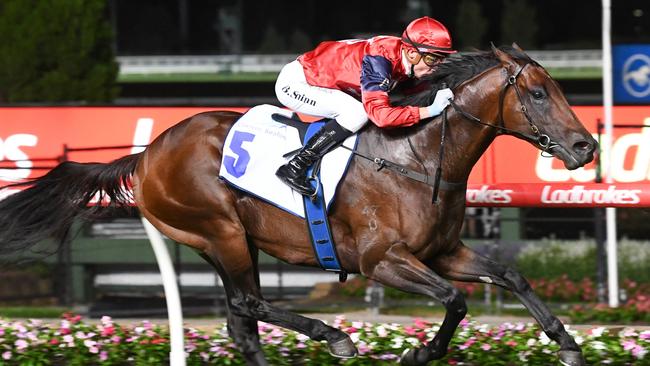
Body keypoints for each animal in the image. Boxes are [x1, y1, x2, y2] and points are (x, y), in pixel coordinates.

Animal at [0, 46, 596, 366]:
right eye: (538, 94)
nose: (586, 146)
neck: (418, 154)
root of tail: (146, 154)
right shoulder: (381, 261)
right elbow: (455, 300)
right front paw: (419, 352)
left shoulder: (443, 251)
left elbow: (510, 276)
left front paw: (567, 342)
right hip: (220, 231)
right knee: (248, 305)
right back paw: (335, 337)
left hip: (223, 241)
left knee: (241, 322)